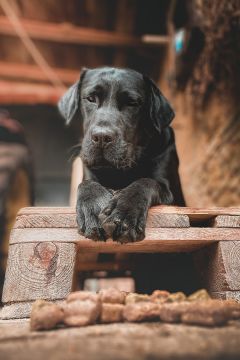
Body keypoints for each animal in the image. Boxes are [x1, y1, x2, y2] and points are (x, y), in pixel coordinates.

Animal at [58, 66, 186, 243]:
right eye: (90, 98)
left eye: (132, 103)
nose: (102, 137)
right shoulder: (89, 173)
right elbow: (86, 184)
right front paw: (93, 210)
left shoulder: (170, 191)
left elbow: (144, 182)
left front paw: (123, 214)